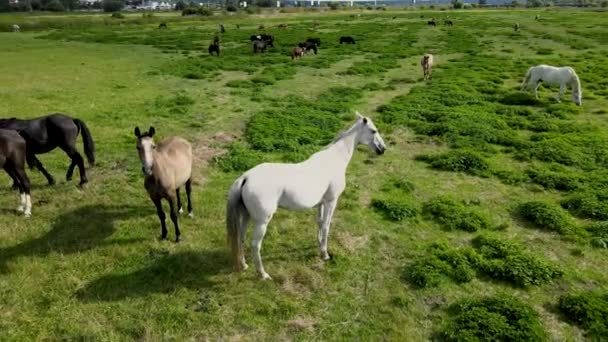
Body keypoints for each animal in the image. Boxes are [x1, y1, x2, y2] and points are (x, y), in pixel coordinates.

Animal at [226, 112, 388, 280]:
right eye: (374, 131)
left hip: (246, 216)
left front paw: (319, 246)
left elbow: (320, 223)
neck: (334, 159)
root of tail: (245, 177)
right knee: (255, 245)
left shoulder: (322, 203)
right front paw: (325, 255)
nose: (382, 149)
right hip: (262, 222)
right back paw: (263, 275)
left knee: (240, 237)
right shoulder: (331, 201)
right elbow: (326, 225)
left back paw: (244, 265)